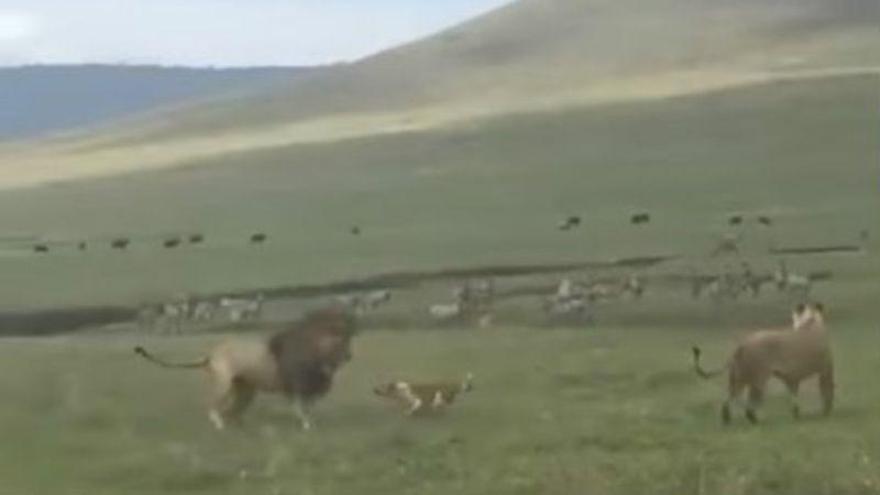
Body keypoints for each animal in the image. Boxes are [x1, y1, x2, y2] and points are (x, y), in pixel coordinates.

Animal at [134, 310, 354, 430]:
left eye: (348, 338)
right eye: (340, 339)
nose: (349, 355)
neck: (317, 351)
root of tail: (211, 354)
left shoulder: (313, 385)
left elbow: (309, 406)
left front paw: (312, 424)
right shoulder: (297, 385)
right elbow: (301, 408)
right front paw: (307, 426)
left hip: (245, 390)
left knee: (233, 412)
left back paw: (241, 428)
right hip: (223, 384)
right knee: (213, 407)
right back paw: (220, 426)